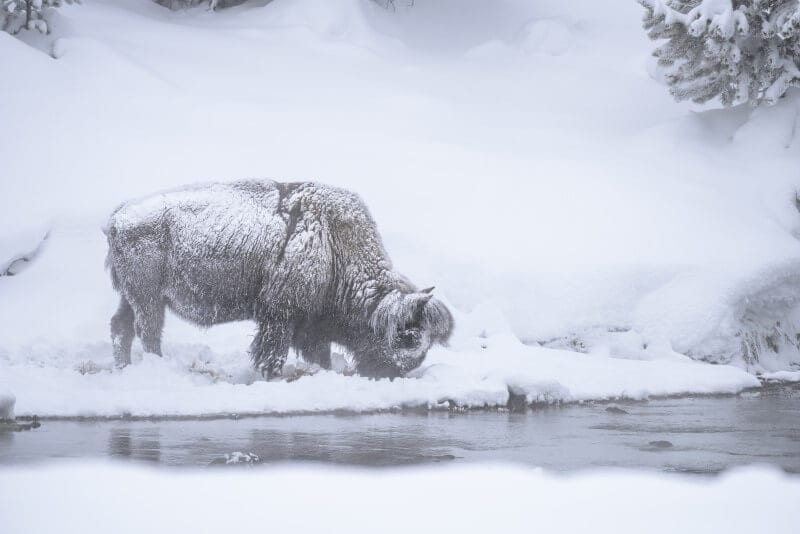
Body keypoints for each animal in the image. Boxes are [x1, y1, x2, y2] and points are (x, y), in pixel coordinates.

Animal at [105, 181, 454, 382]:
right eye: (407, 337)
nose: (394, 374)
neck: (333, 244)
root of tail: (119, 215)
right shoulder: (280, 318)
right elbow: (272, 354)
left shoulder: (310, 327)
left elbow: (319, 355)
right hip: (148, 298)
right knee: (147, 332)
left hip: (130, 297)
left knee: (121, 327)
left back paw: (122, 368)